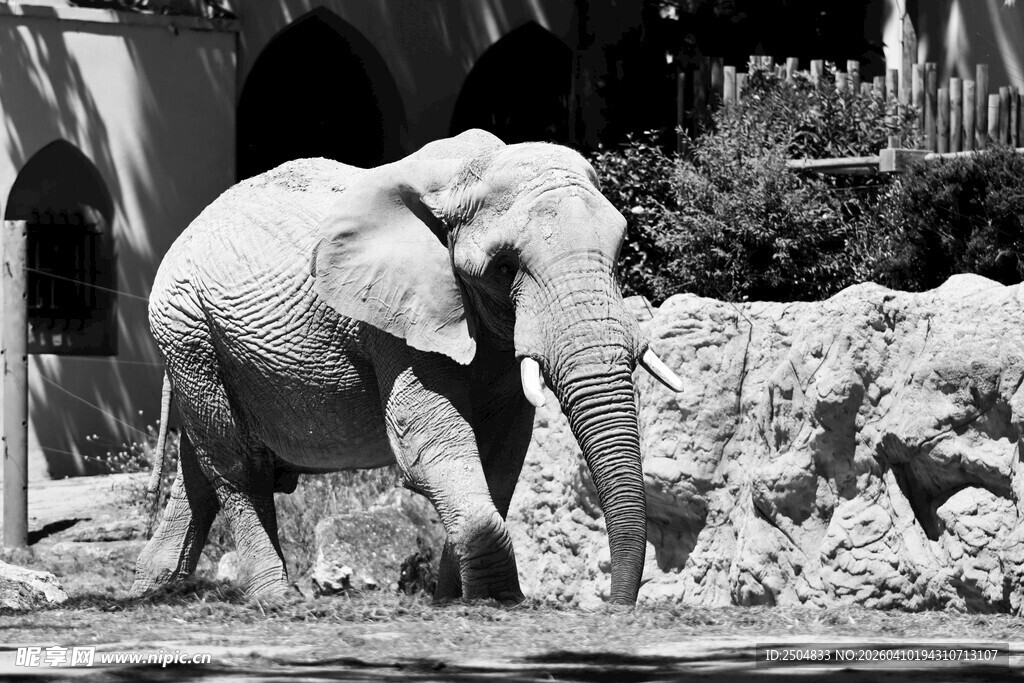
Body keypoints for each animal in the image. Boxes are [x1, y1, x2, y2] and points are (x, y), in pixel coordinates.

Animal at [131, 129, 684, 605]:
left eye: (618, 250)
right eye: (504, 267)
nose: (616, 609)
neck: (467, 171)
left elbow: (501, 452)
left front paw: (455, 600)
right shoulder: (391, 317)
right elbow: (430, 441)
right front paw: (499, 603)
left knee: (201, 473)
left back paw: (155, 591)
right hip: (189, 334)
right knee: (237, 468)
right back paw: (275, 599)